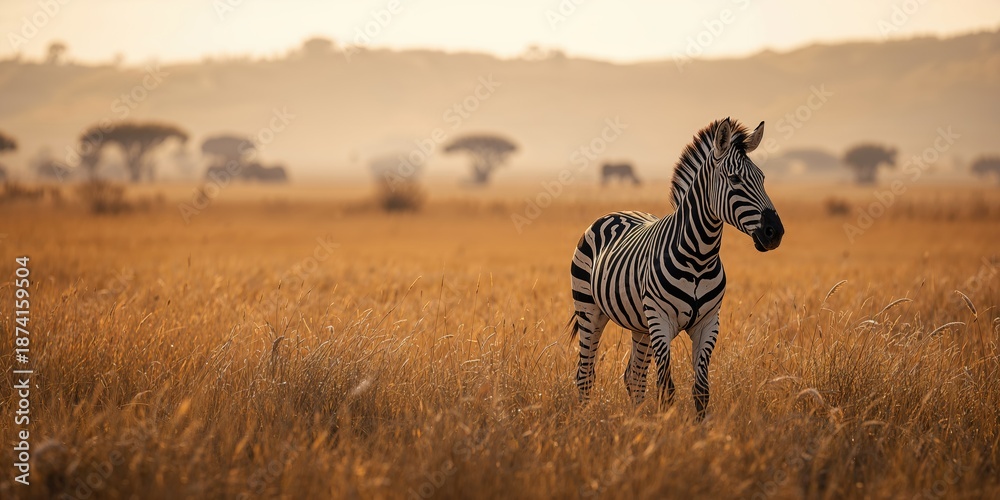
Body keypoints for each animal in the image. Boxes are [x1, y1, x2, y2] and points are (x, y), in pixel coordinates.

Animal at [569, 118, 784, 419]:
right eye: (735, 179)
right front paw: (668, 428)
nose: (775, 233)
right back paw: (586, 418)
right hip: (589, 309)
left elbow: (701, 390)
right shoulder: (661, 320)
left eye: (762, 178)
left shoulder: (708, 323)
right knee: (586, 373)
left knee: (634, 376)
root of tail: (617, 212)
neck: (699, 257)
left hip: (640, 324)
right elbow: (666, 389)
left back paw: (637, 421)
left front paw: (695, 429)